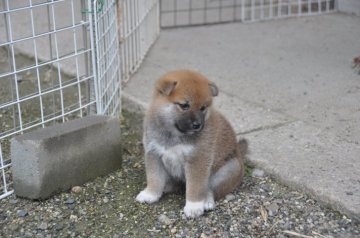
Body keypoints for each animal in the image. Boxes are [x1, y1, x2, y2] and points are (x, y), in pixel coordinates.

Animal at [136, 69, 248, 218]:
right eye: (184, 105)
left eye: (203, 108)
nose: (197, 125)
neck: (174, 134)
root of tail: (239, 152)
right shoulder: (153, 153)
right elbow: (154, 178)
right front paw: (151, 194)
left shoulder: (197, 159)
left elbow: (195, 186)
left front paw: (193, 206)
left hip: (228, 170)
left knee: (210, 189)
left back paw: (206, 201)